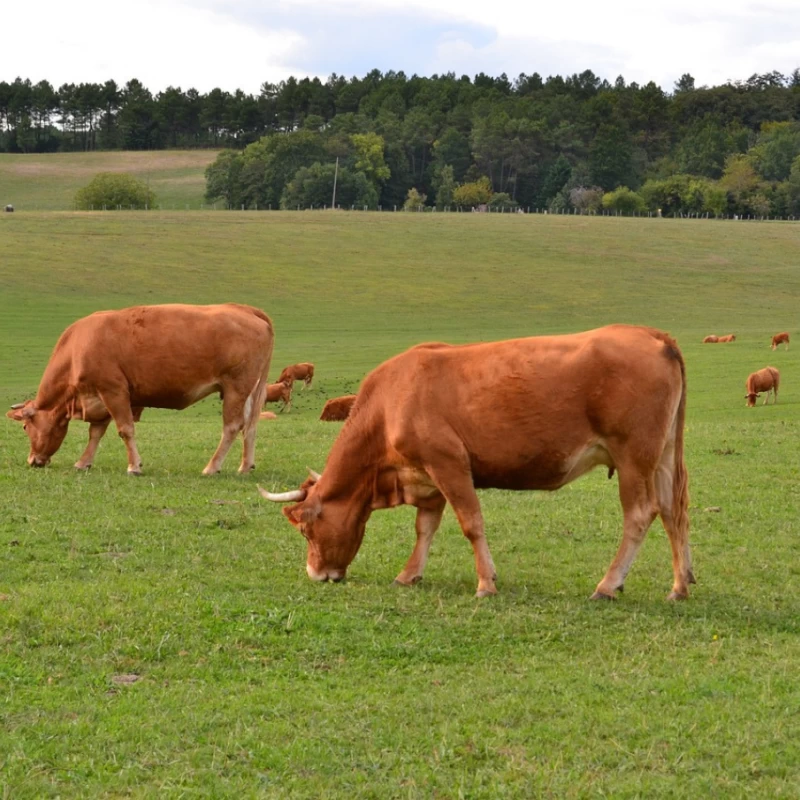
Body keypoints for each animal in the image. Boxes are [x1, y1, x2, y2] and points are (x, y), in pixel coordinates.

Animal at [5, 304, 276, 472]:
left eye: (25, 427)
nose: (33, 460)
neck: (76, 348)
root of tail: (245, 309)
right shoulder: (102, 398)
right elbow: (96, 433)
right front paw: (84, 462)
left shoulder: (113, 391)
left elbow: (125, 430)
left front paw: (134, 466)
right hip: (250, 391)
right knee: (250, 427)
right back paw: (245, 466)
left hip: (235, 388)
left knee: (232, 427)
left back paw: (212, 467)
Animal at [260, 324, 692, 600]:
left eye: (306, 531)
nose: (315, 574)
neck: (389, 403)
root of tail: (652, 335)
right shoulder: (427, 476)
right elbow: (425, 528)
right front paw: (409, 574)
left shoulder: (449, 463)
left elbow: (471, 523)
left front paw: (486, 583)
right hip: (664, 456)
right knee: (673, 511)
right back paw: (680, 585)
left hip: (633, 457)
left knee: (641, 514)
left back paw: (608, 585)